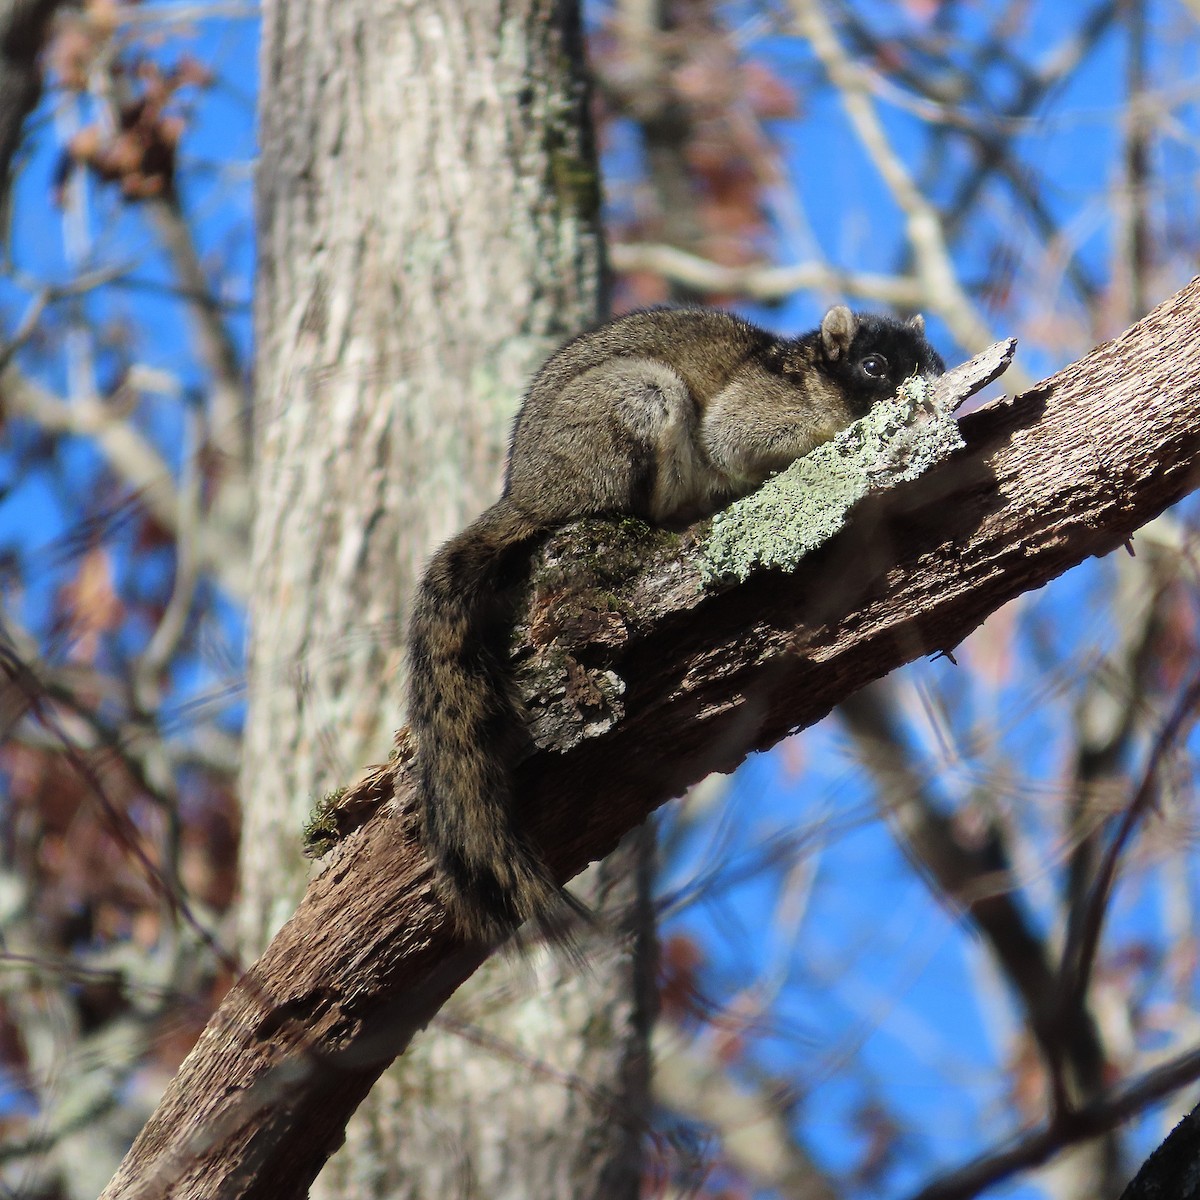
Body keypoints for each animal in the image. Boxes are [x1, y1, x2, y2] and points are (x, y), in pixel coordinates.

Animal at [406, 305, 945, 944]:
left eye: (936, 364)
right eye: (874, 366)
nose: (928, 391)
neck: (810, 375)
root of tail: (528, 498)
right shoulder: (756, 410)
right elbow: (735, 440)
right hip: (631, 407)